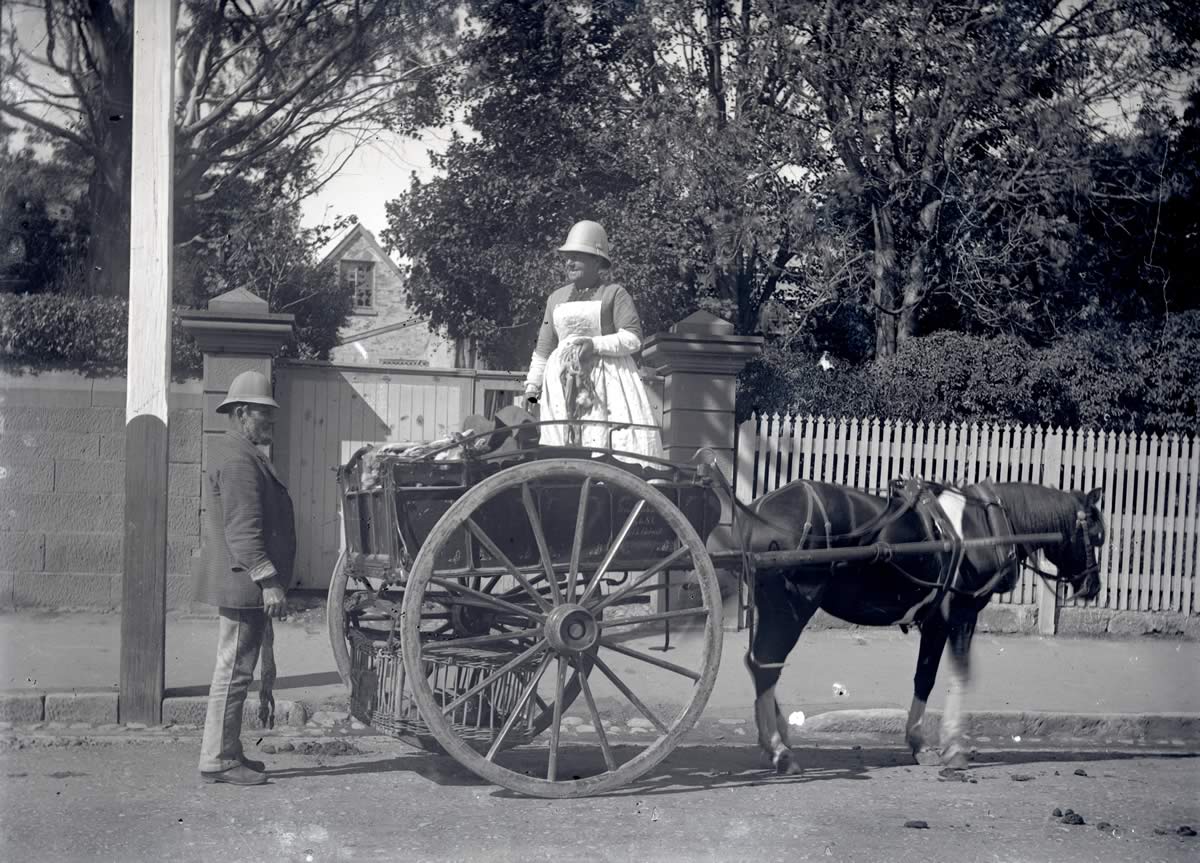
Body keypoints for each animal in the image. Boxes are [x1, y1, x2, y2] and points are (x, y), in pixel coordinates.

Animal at [739, 480, 1104, 777]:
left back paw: (776, 737)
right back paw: (779, 749)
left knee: (759, 662)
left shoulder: (935, 619)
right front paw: (950, 745)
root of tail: (759, 510)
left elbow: (924, 678)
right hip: (793, 605)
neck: (984, 527)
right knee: (767, 665)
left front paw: (919, 741)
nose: (1094, 586)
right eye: (1097, 535)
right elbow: (949, 675)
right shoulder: (957, 614)